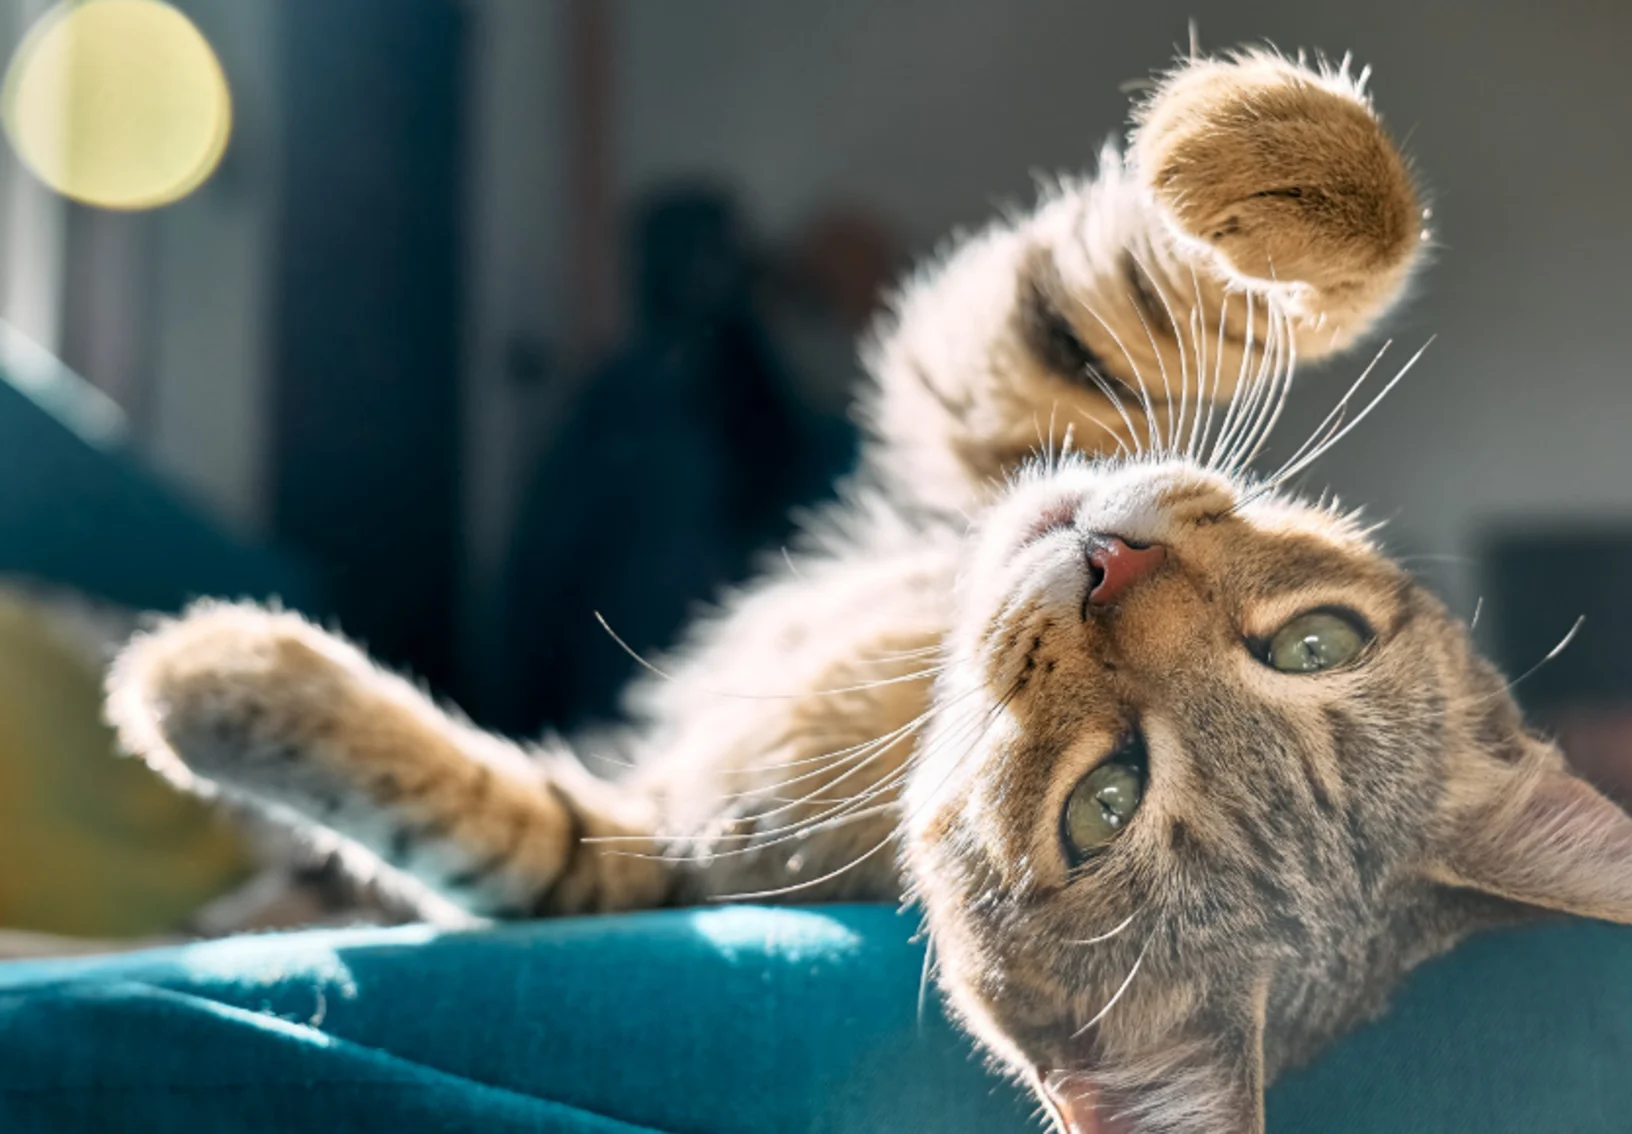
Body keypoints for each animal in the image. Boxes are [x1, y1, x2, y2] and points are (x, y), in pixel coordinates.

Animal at [102, 46, 1632, 1134]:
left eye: (1106, 803)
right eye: (1317, 644)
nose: (1111, 564)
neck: (919, 684)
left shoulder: (646, 850)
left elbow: (473, 815)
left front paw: (208, 677)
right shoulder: (1012, 431)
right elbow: (1306, 253)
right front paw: (1260, 158)